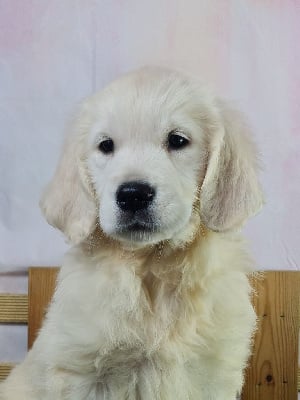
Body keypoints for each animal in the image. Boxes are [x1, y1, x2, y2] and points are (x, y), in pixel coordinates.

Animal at [0, 67, 262, 398]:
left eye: (177, 140)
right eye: (106, 145)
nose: (133, 194)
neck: (151, 268)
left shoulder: (212, 374)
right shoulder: (80, 372)